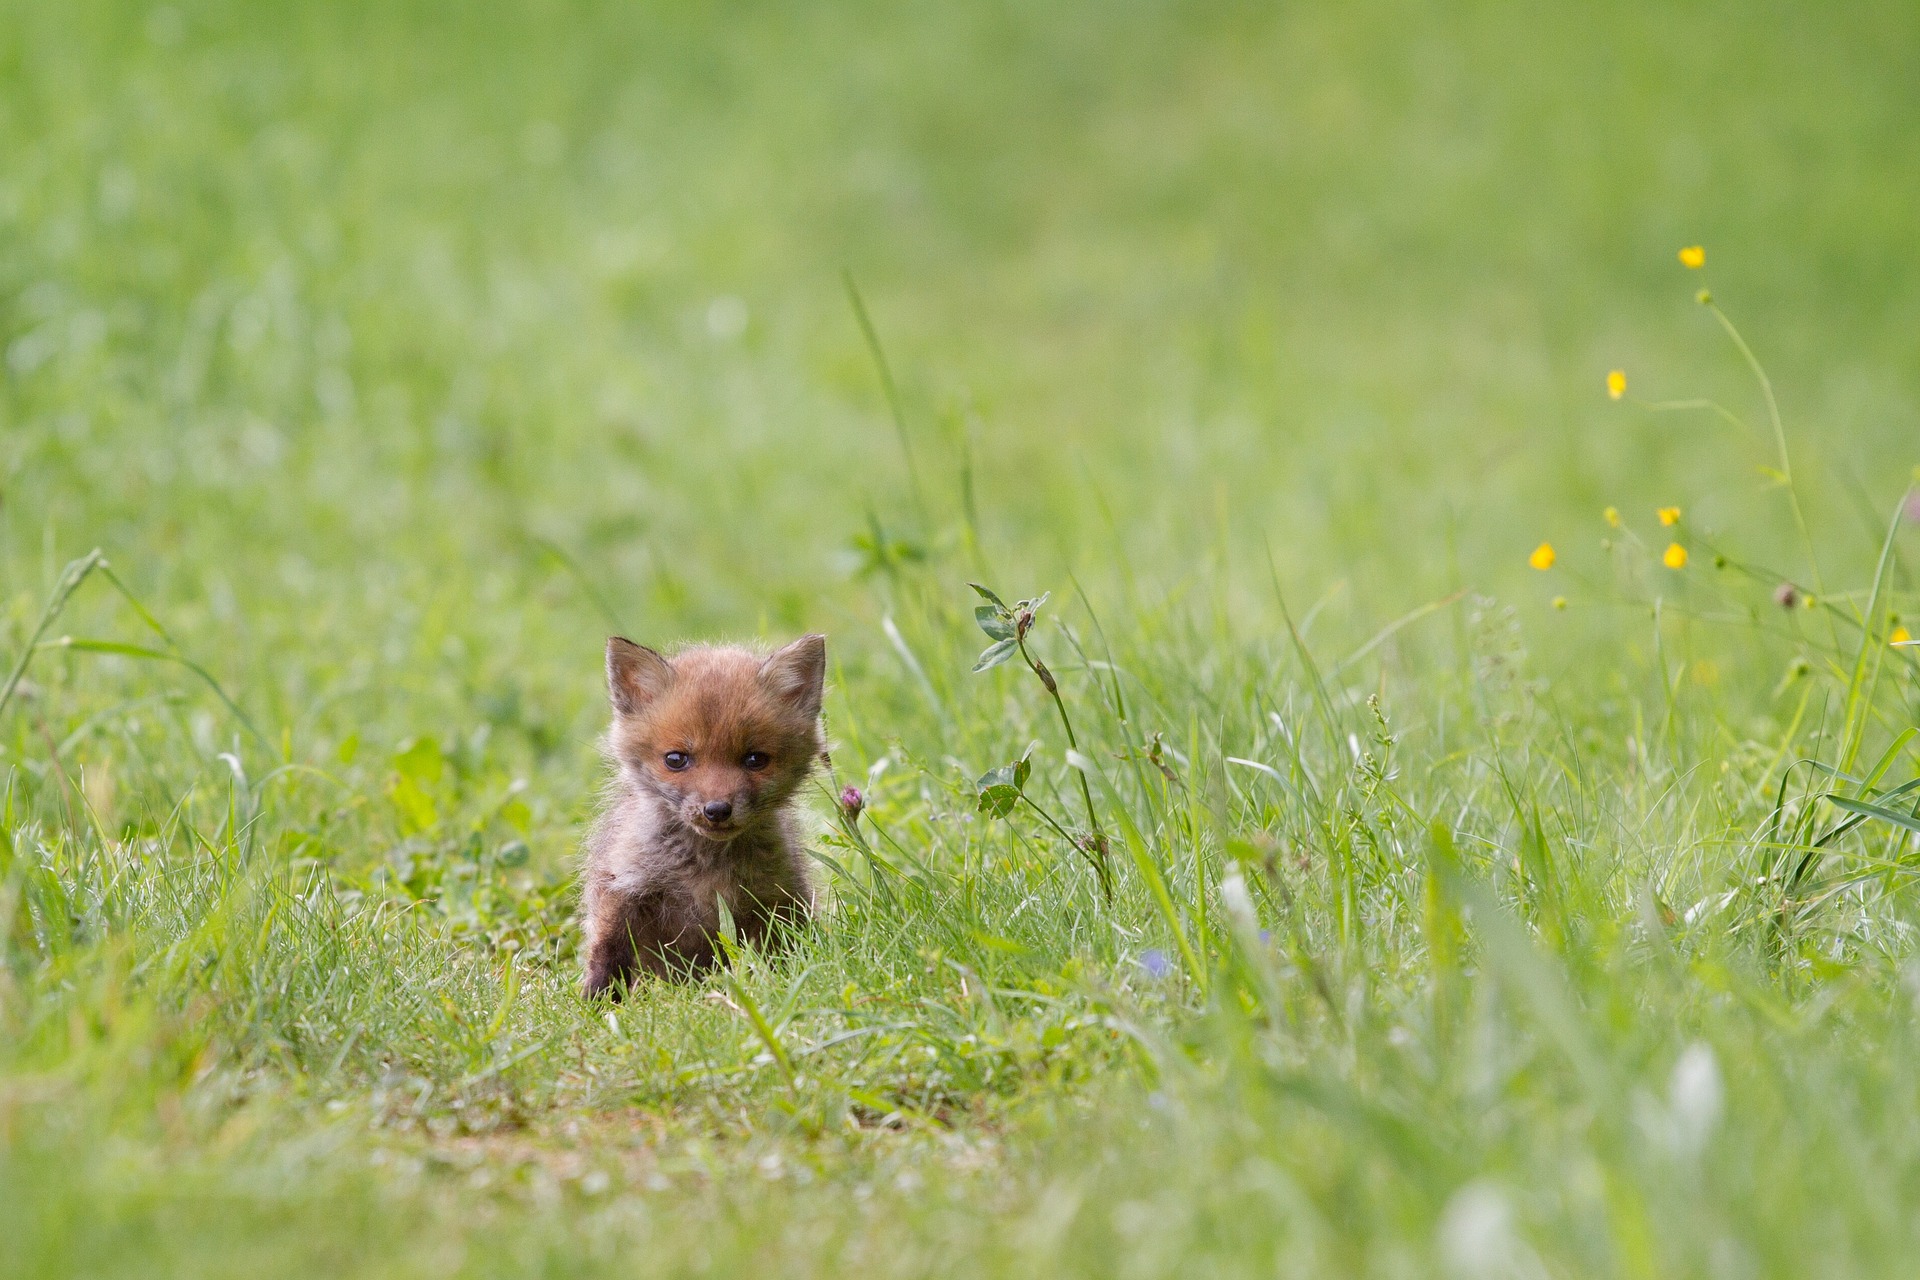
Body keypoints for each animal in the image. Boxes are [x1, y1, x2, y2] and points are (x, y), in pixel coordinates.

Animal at [579, 629, 829, 997]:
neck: (704, 869)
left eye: (755, 759)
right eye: (675, 759)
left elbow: (776, 957)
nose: (717, 810)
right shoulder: (622, 890)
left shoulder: (775, 899)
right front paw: (595, 1002)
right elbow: (607, 955)